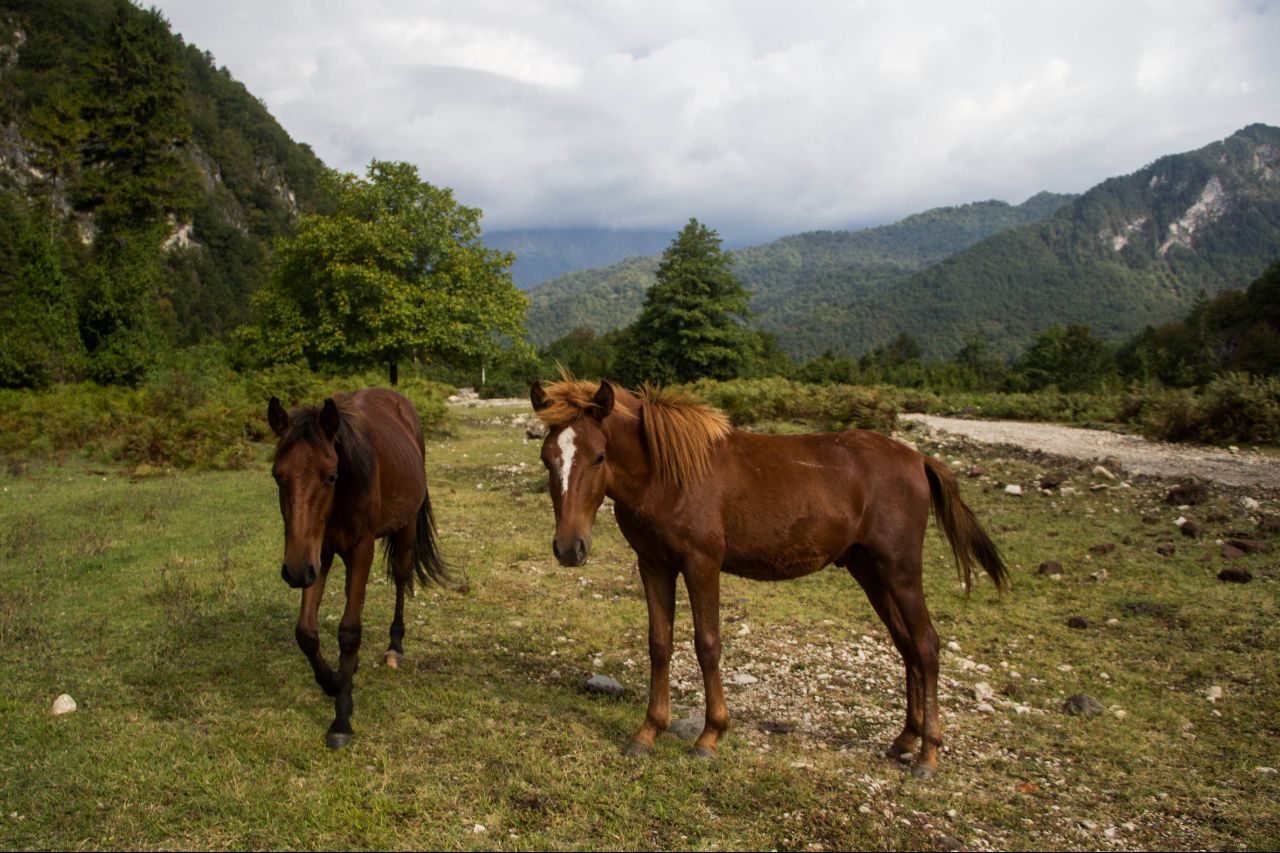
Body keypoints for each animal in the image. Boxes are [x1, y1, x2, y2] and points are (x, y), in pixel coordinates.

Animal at [529, 376, 1008, 773]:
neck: (669, 476)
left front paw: (710, 736)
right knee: (907, 645)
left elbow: (707, 645)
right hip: (870, 570)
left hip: (901, 570)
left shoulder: (702, 565)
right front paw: (648, 732)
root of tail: (919, 459)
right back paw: (905, 739)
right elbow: (659, 644)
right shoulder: (654, 564)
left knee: (926, 645)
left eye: (599, 456)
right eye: (547, 458)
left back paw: (928, 754)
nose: (569, 548)